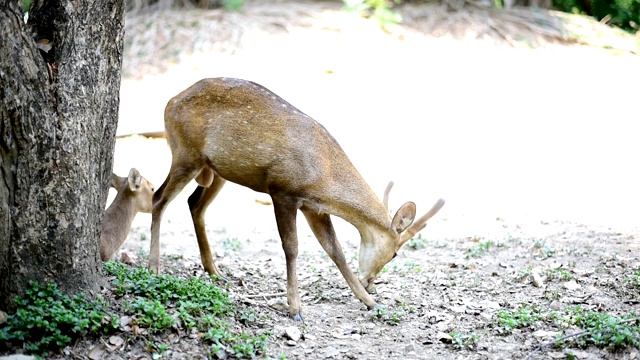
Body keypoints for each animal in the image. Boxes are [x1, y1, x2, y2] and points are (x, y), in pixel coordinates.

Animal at [151, 78, 444, 320]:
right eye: (395, 254)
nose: (370, 282)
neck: (324, 174)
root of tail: (169, 102)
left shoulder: (314, 208)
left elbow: (335, 250)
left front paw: (370, 302)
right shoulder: (283, 190)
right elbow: (291, 247)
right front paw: (295, 309)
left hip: (217, 170)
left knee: (194, 203)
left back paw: (215, 270)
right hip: (185, 153)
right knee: (158, 198)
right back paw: (154, 267)